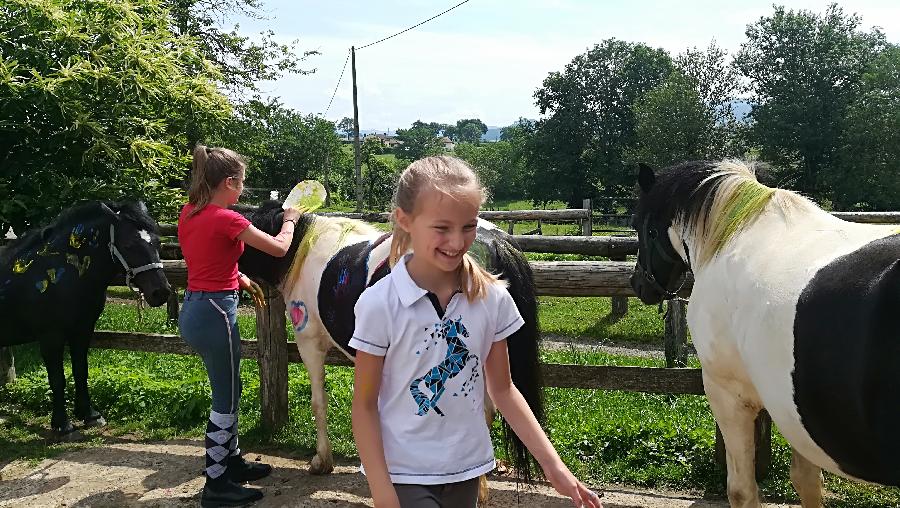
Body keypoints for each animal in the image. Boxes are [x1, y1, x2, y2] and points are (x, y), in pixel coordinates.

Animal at [0, 200, 171, 438]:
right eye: (128, 245)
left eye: (157, 243)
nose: (161, 292)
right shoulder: (51, 337)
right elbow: (57, 379)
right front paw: (62, 425)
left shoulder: (82, 330)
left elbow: (81, 371)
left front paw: (89, 415)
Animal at [632, 161, 900, 506]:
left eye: (640, 227)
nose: (639, 284)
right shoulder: (794, 410)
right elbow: (806, 481)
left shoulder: (728, 394)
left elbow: (742, 490)